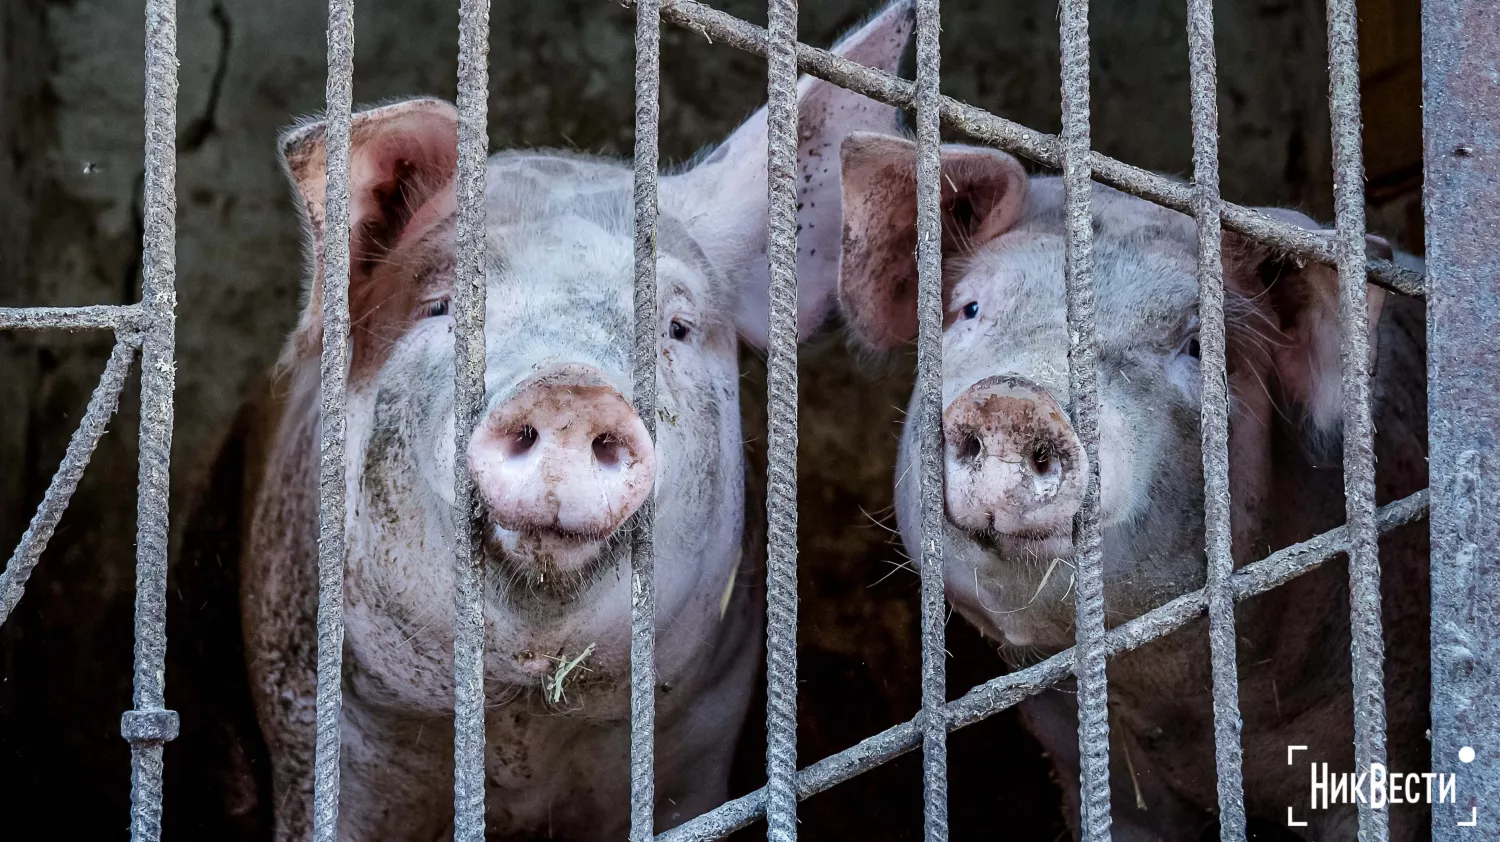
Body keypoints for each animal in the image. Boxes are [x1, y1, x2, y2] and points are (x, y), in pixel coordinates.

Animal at [168, 6, 912, 840]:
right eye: (443, 308)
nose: (567, 390)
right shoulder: (315, 728)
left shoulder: (699, 741)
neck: (524, 723)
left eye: (678, 326)